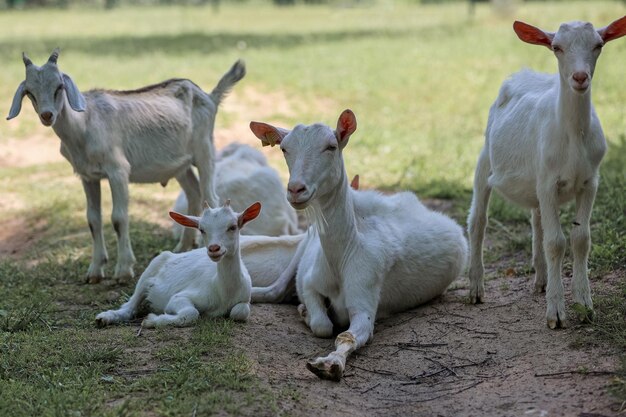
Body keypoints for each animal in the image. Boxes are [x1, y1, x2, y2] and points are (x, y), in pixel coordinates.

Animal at [7, 48, 246, 282]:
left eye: (59, 86)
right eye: (29, 92)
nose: (47, 115)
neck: (84, 126)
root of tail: (209, 96)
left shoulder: (118, 170)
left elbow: (118, 218)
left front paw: (123, 270)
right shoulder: (88, 176)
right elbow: (93, 219)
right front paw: (94, 271)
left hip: (205, 150)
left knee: (210, 196)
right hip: (180, 164)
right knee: (194, 193)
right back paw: (184, 246)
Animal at [95, 200, 264, 326]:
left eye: (233, 227)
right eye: (202, 229)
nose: (214, 248)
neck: (224, 291)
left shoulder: (244, 299)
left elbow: (240, 312)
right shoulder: (180, 297)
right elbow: (191, 313)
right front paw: (151, 320)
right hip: (151, 268)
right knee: (131, 304)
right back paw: (105, 317)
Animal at [246, 108, 466, 380]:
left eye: (331, 146)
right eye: (284, 148)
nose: (296, 190)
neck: (342, 256)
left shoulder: (366, 292)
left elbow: (347, 333)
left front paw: (330, 364)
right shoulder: (310, 280)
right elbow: (322, 324)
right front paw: (307, 312)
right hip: (306, 241)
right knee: (275, 290)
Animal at [466, 15, 620, 328]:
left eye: (598, 45)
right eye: (556, 47)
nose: (580, 77)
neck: (573, 136)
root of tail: (523, 74)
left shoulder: (590, 181)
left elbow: (581, 239)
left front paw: (584, 304)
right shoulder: (548, 183)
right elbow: (556, 243)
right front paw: (556, 314)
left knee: (536, 218)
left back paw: (541, 279)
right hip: (485, 158)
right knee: (478, 220)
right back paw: (476, 288)